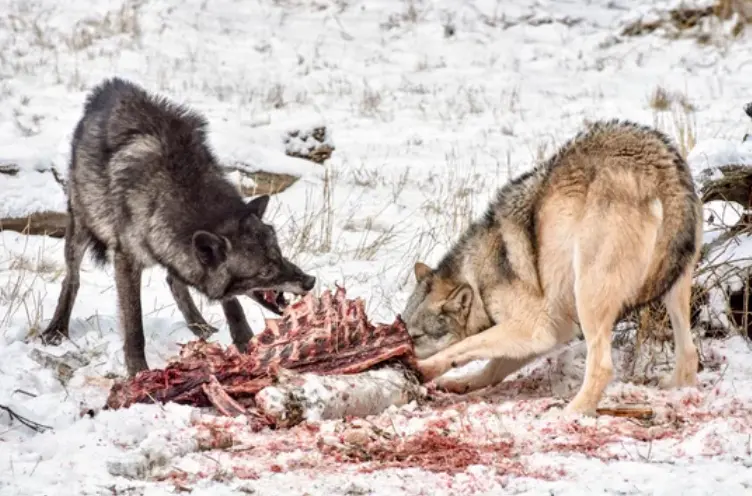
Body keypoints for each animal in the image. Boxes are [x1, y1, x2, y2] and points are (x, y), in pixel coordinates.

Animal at [40, 77, 316, 377]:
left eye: (280, 254)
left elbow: (234, 305)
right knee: (72, 278)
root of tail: (111, 86)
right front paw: (138, 371)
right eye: (265, 271)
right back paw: (56, 329)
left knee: (174, 280)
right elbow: (134, 324)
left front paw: (246, 343)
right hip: (80, 226)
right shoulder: (126, 260)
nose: (309, 281)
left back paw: (200, 326)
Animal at [402, 119, 703, 416]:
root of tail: (660, 166)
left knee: (603, 366)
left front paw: (425, 368)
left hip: (589, 295)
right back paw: (677, 387)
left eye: (416, 336)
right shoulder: (552, 331)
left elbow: (466, 347)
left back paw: (573, 411)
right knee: (689, 353)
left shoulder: (534, 327)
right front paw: (460, 383)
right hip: (673, 286)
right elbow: (492, 368)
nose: (400, 360)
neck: (478, 276)